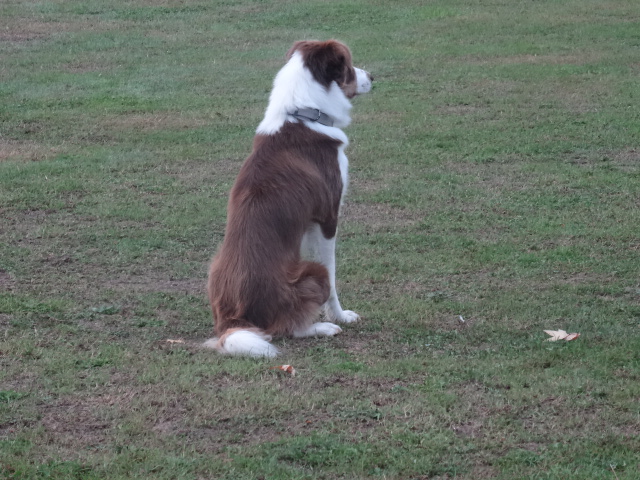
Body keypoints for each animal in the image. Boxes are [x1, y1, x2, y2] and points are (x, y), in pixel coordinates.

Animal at [204, 40, 373, 357]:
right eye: (348, 64)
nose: (372, 76)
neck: (304, 113)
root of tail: (233, 321)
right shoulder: (327, 217)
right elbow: (334, 278)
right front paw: (340, 316)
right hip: (312, 275)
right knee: (284, 328)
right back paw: (323, 328)